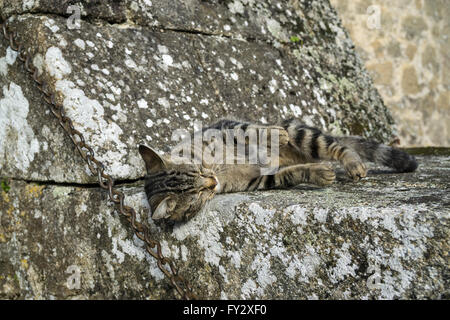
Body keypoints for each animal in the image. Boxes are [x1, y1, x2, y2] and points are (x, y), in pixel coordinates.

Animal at [138, 119, 418, 221]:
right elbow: (289, 175)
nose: (213, 182)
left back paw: (353, 163)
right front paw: (318, 174)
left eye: (199, 169)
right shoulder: (259, 181)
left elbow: (249, 130)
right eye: (197, 195)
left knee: (339, 146)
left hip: (304, 135)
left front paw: (274, 135)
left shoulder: (226, 126)